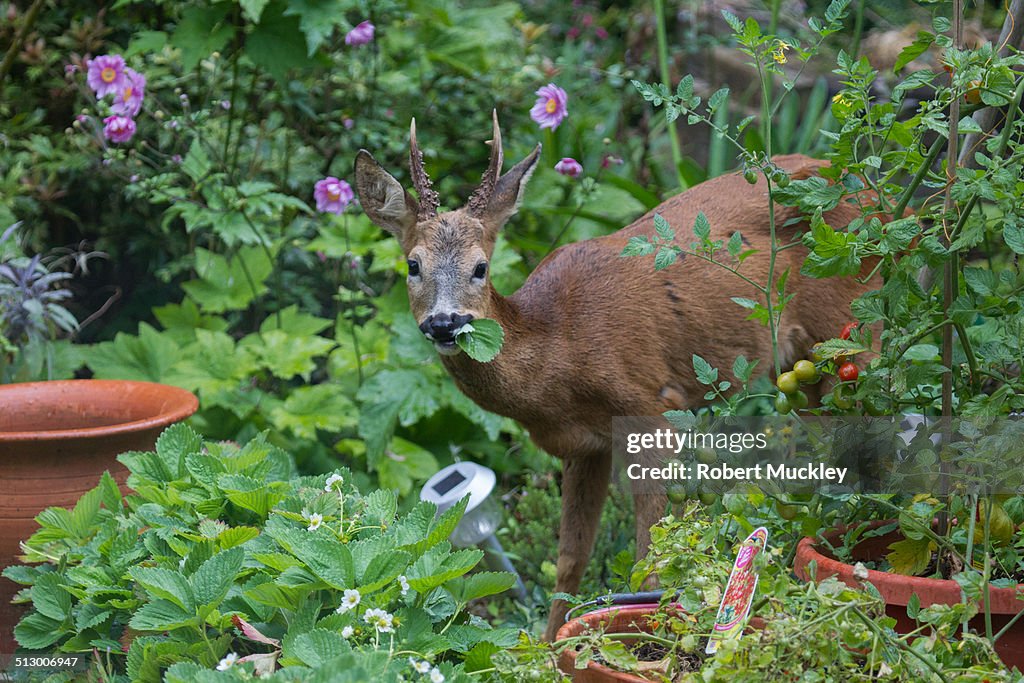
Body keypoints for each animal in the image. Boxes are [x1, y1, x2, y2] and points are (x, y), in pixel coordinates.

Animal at [354, 112, 880, 643]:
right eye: (413, 264)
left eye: (480, 267)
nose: (445, 323)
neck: (558, 351)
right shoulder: (583, 446)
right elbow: (570, 557)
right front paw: (550, 647)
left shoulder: (651, 410)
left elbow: (651, 559)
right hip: (802, 370)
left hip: (853, 327)